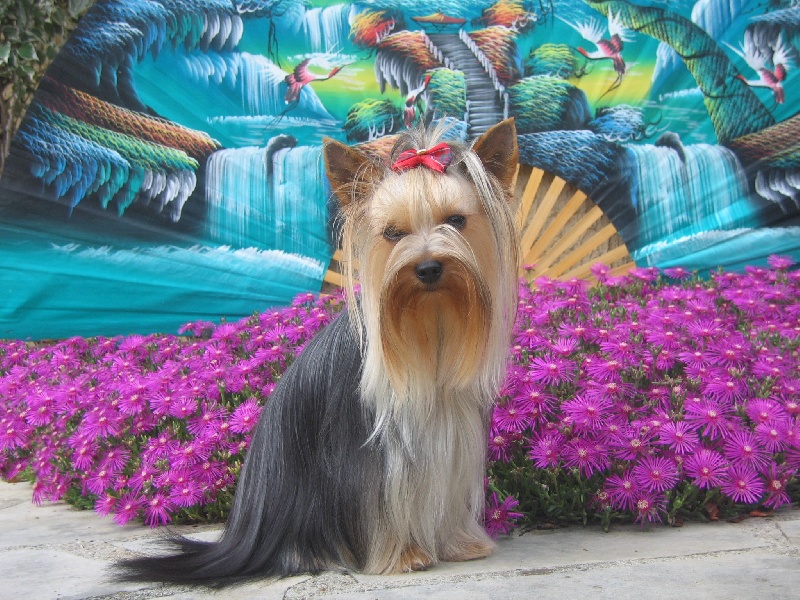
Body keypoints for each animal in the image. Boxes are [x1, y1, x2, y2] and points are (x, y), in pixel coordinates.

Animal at [118, 118, 520, 584]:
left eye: (456, 220)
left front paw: (459, 544)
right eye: (392, 233)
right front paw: (403, 555)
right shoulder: (367, 460)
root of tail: (239, 539)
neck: (430, 323)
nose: (427, 267)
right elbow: (381, 506)